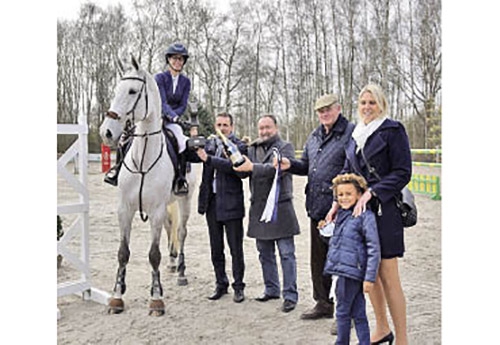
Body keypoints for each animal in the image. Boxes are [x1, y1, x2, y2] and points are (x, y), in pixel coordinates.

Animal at [99, 55, 193, 314]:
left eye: (132, 91)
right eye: (116, 90)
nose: (106, 132)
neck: (143, 159)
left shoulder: (157, 210)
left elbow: (153, 255)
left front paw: (157, 299)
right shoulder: (125, 209)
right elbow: (123, 252)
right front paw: (117, 296)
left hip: (185, 199)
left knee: (181, 232)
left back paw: (181, 272)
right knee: (171, 229)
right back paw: (172, 264)